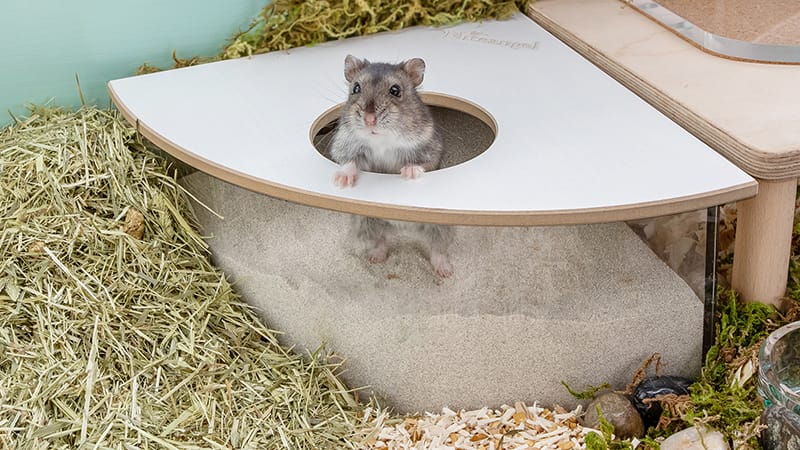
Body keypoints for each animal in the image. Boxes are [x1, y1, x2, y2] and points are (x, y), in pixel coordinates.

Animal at [330, 55, 453, 277]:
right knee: (381, 240)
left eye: (395, 90)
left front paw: (409, 172)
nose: (370, 120)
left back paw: (445, 271)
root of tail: (403, 228)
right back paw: (375, 258)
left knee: (437, 249)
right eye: (356, 88)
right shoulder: (345, 145)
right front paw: (342, 180)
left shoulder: (431, 147)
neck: (381, 139)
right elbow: (349, 161)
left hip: (440, 226)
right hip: (365, 222)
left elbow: (422, 162)